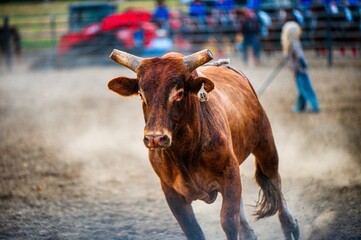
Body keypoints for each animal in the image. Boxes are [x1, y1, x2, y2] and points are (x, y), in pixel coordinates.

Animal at [107, 49, 298, 240]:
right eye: (141, 94)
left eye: (179, 93)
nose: (155, 138)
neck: (186, 153)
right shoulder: (171, 191)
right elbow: (194, 230)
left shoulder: (230, 171)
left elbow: (229, 221)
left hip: (265, 143)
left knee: (274, 180)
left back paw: (291, 226)